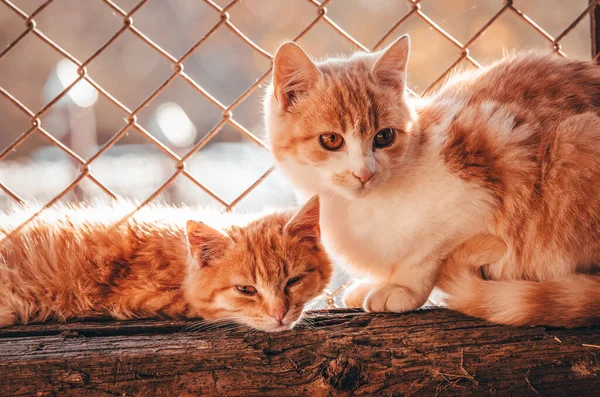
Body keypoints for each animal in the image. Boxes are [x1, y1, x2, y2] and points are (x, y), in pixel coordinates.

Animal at [264, 34, 600, 326]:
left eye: (384, 137)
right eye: (332, 139)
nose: (364, 173)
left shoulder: (476, 195)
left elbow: (425, 253)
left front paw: (402, 288)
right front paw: (375, 284)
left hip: (576, 140)